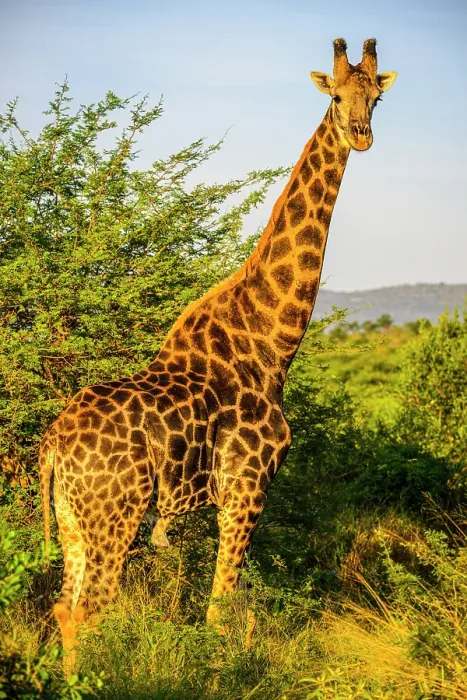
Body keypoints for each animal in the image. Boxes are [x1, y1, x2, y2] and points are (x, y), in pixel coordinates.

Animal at [39, 38, 397, 672]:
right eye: (334, 95)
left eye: (376, 98)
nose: (361, 135)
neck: (271, 343)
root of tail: (54, 444)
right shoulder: (246, 487)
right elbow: (219, 612)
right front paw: (218, 673)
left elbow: (224, 607)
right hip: (115, 516)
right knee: (89, 611)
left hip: (74, 519)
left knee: (63, 607)